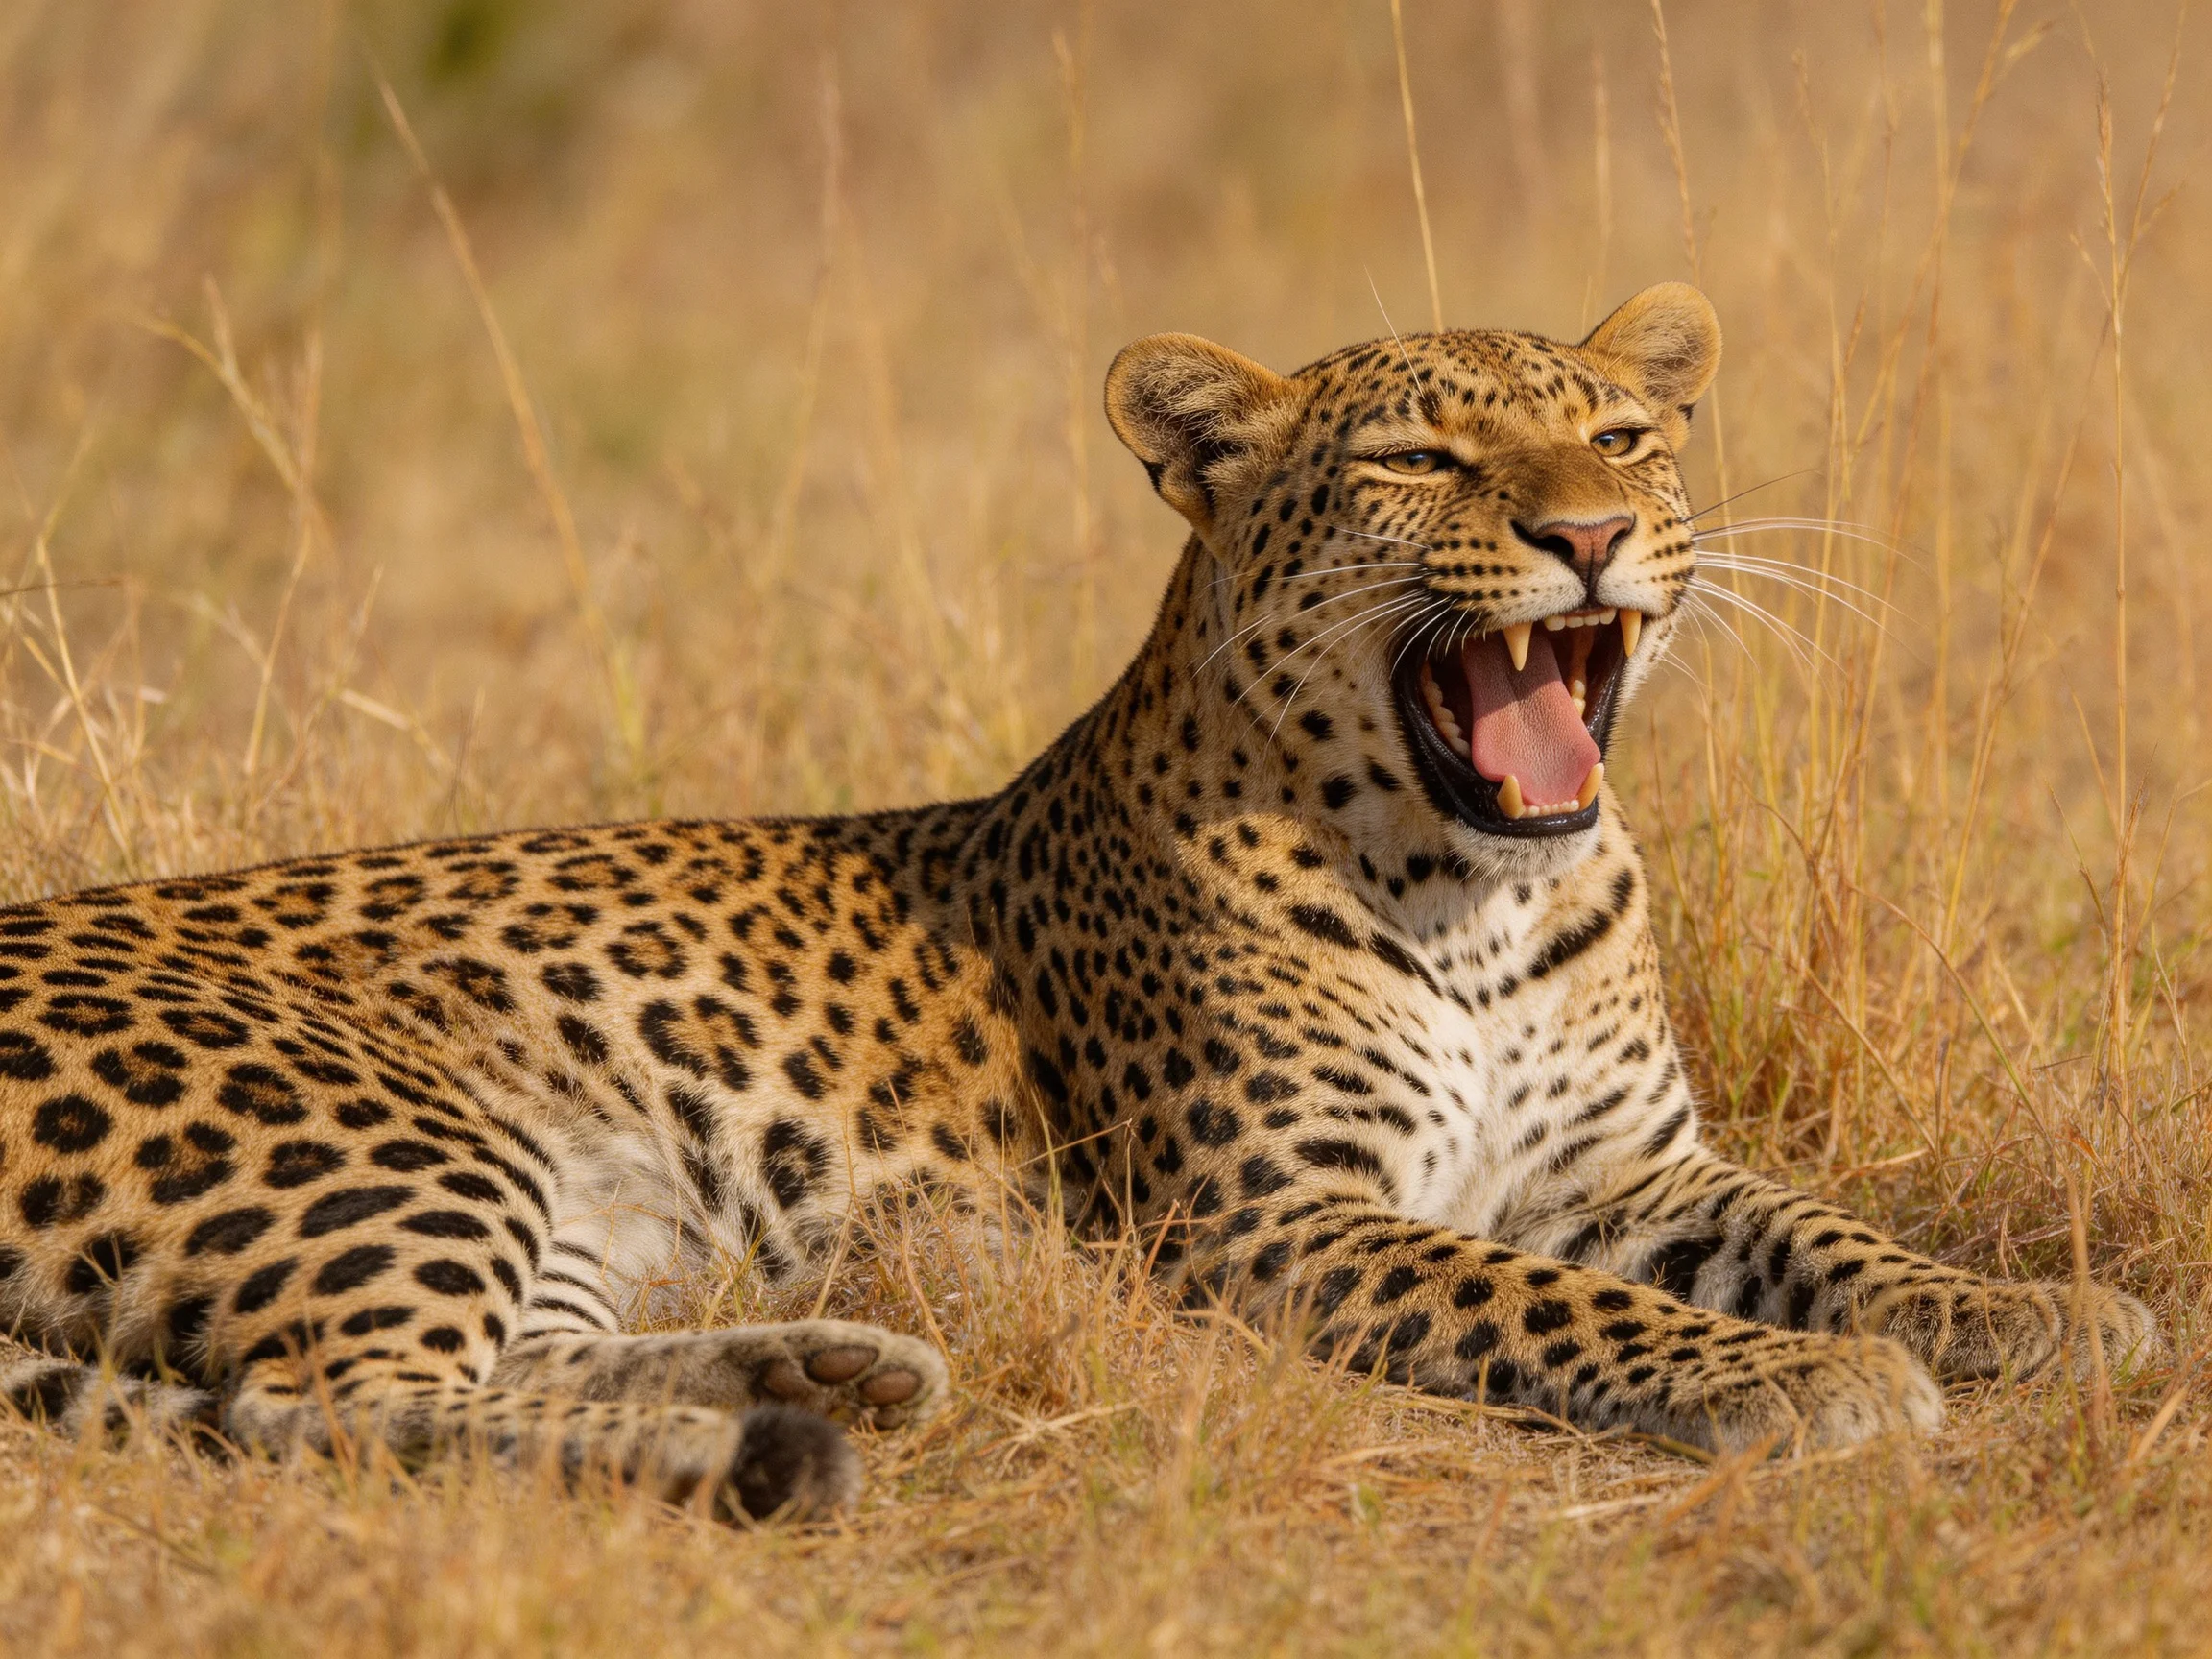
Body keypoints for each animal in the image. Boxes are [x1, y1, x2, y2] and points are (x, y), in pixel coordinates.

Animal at [0, 283, 2164, 1520]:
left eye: (1621, 433)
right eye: (1420, 453)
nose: (1590, 531)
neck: (1477, 896)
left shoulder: (1633, 1165)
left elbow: (1829, 1232)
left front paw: (2032, 1311)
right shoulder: (1276, 1217)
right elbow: (1557, 1299)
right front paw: (1806, 1381)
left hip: (549, 1211)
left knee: (449, 1374)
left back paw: (831, 1372)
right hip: (383, 1134)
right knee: (337, 1403)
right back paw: (768, 1439)